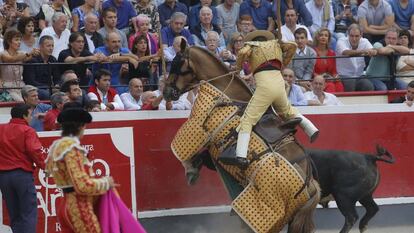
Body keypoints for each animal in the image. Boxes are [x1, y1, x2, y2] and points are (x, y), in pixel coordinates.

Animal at [163, 42, 322, 233]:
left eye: (176, 63)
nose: (166, 92)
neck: (228, 92)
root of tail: (311, 185)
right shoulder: (214, 152)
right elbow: (202, 156)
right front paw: (194, 169)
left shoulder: (198, 126)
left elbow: (186, 151)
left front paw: (190, 170)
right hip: (289, 217)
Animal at [194, 145, 394, 232]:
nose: (201, 154)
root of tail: (368, 156)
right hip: (364, 196)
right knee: (372, 209)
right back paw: (364, 226)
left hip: (343, 197)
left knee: (351, 216)